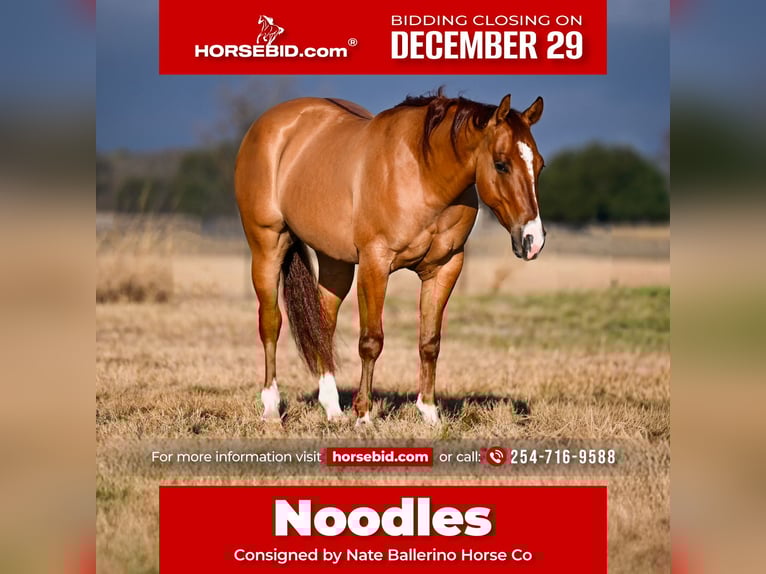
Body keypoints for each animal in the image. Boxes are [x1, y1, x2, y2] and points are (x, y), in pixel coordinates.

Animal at [235, 89, 546, 426]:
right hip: (267, 247)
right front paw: (364, 415)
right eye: (501, 164)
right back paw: (271, 407)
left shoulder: (445, 268)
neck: (424, 174)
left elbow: (430, 342)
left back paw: (332, 409)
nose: (533, 240)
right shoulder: (375, 263)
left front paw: (430, 413)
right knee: (271, 322)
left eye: (539, 166)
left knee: (323, 325)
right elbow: (371, 341)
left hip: (335, 263)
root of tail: (268, 124)